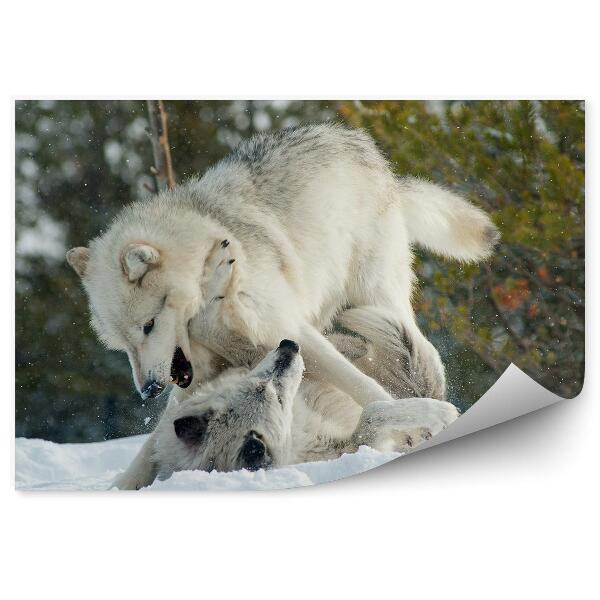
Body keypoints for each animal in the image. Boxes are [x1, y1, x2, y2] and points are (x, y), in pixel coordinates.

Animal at [67, 123, 496, 412]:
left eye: (148, 326)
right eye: (123, 345)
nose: (148, 390)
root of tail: (363, 146)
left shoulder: (285, 327)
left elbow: (358, 383)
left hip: (376, 297)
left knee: (417, 357)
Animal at [116, 304, 454, 488]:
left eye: (254, 383)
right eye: (272, 395)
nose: (288, 345)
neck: (300, 423)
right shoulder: (352, 443)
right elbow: (374, 413)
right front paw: (438, 414)